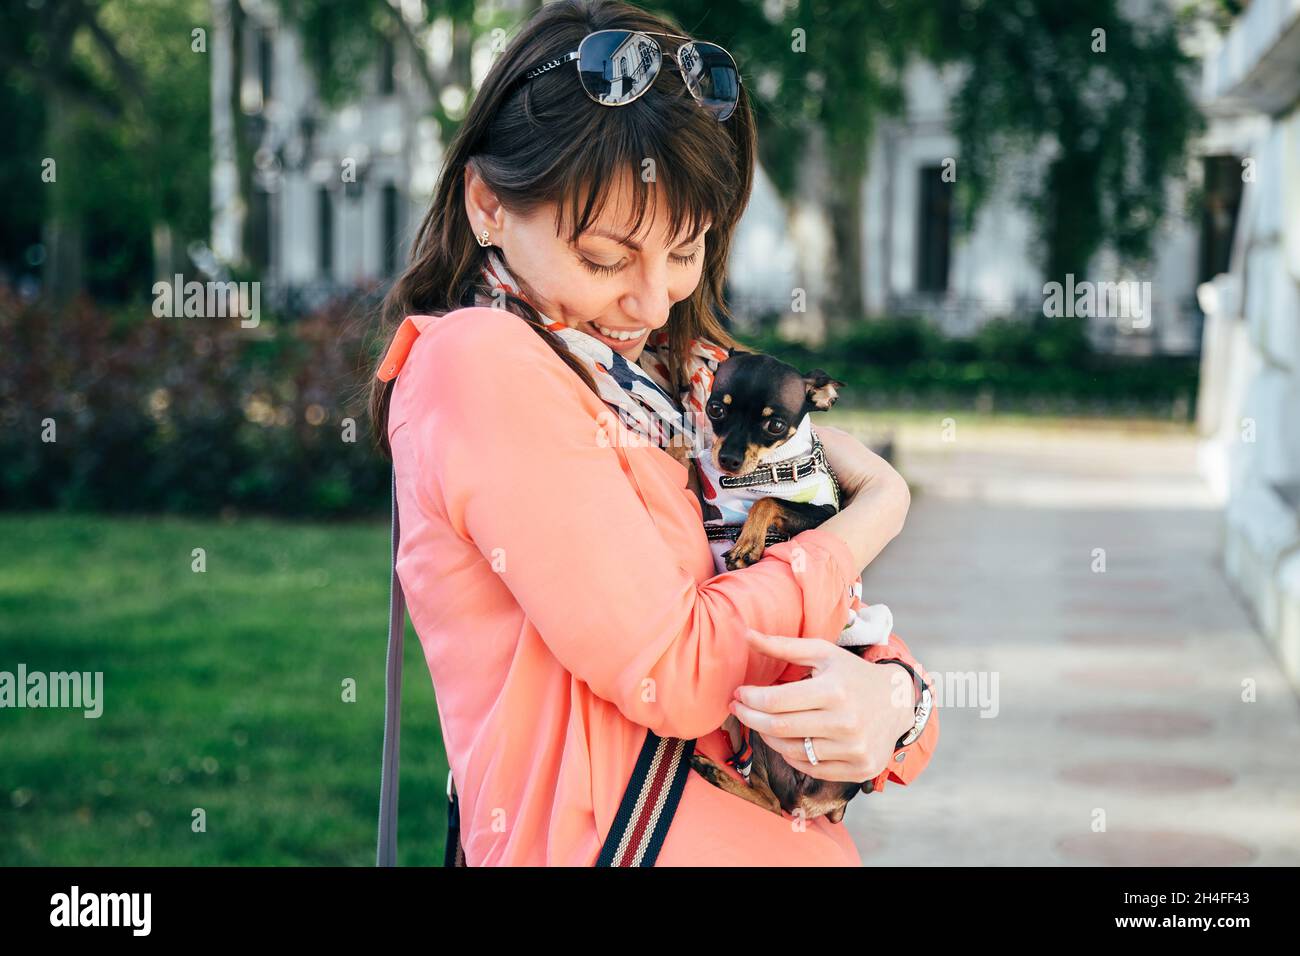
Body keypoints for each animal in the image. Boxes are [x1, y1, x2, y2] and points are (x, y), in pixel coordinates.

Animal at [686, 348, 889, 822]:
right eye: (716, 410)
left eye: (774, 425)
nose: (728, 459)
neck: (763, 471)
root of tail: (831, 799)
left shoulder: (821, 515)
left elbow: (769, 502)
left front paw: (747, 544)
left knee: (773, 803)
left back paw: (716, 773)